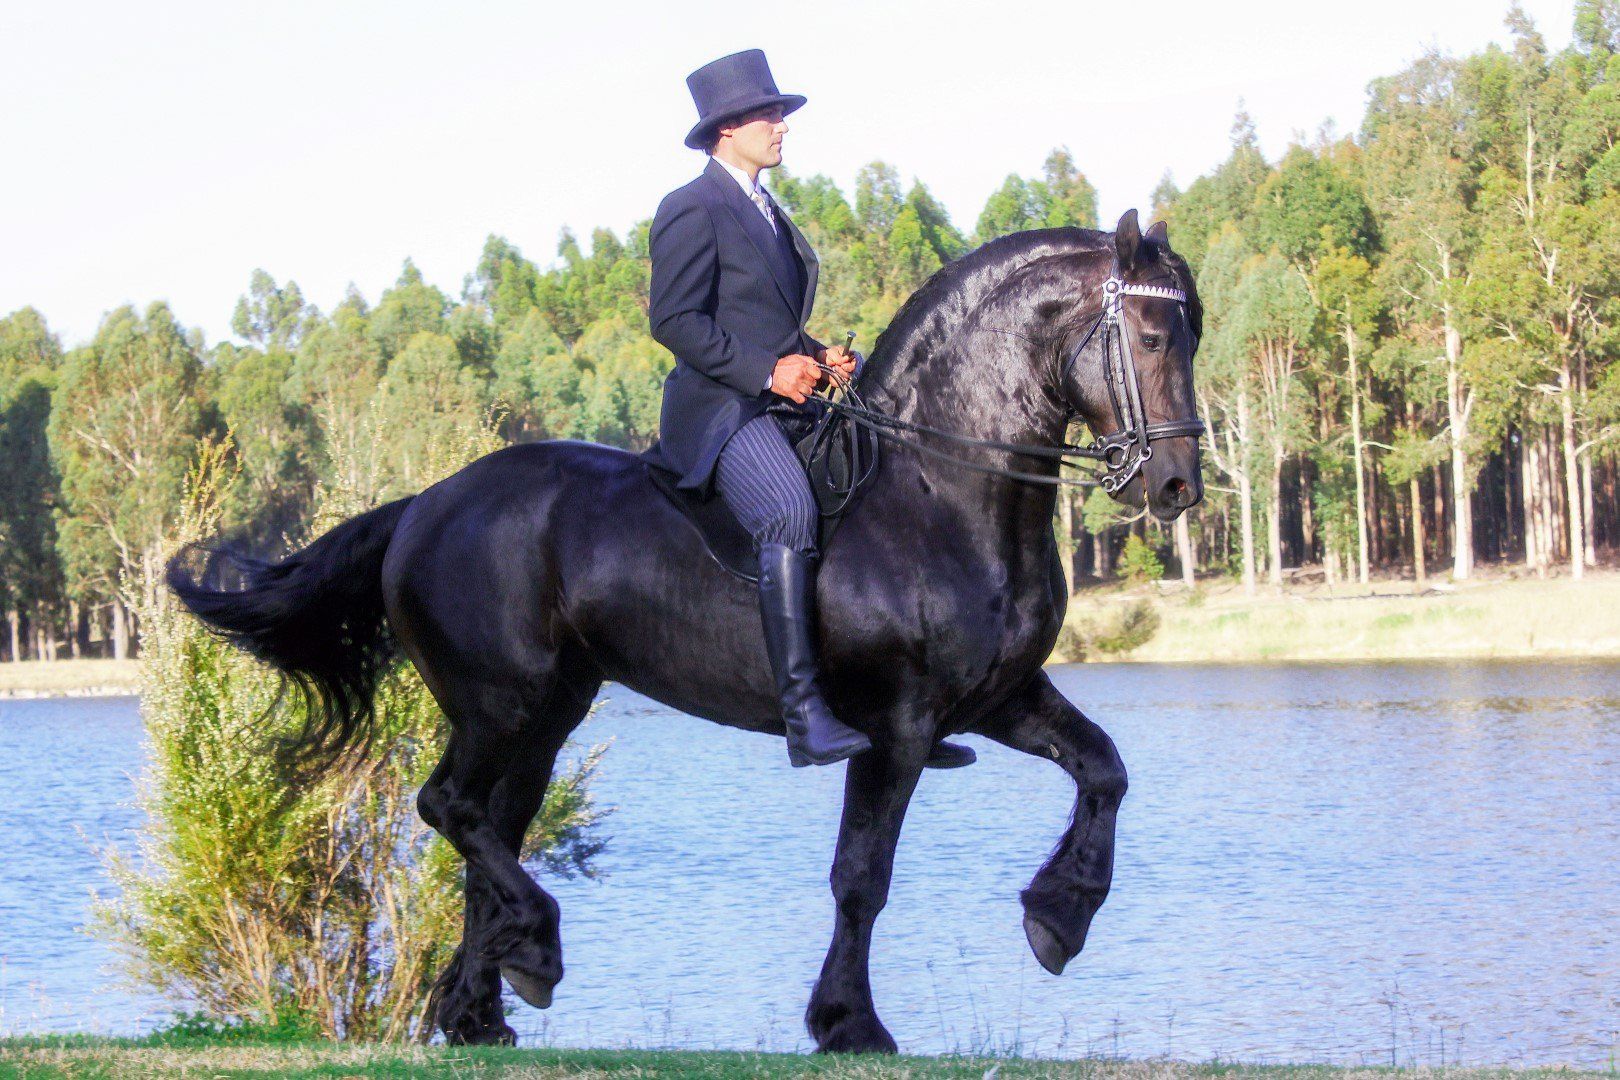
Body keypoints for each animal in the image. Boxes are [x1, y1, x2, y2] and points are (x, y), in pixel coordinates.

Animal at [168, 208, 1205, 1053]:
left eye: (1191, 331)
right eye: (1154, 334)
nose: (1175, 488)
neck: (935, 490)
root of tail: (426, 503)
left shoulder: (999, 697)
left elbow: (1106, 770)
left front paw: (1060, 916)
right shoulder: (898, 727)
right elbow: (862, 876)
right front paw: (850, 1023)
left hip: (547, 713)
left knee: (487, 830)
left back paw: (478, 1009)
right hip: (499, 702)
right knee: (449, 808)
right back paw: (533, 953)